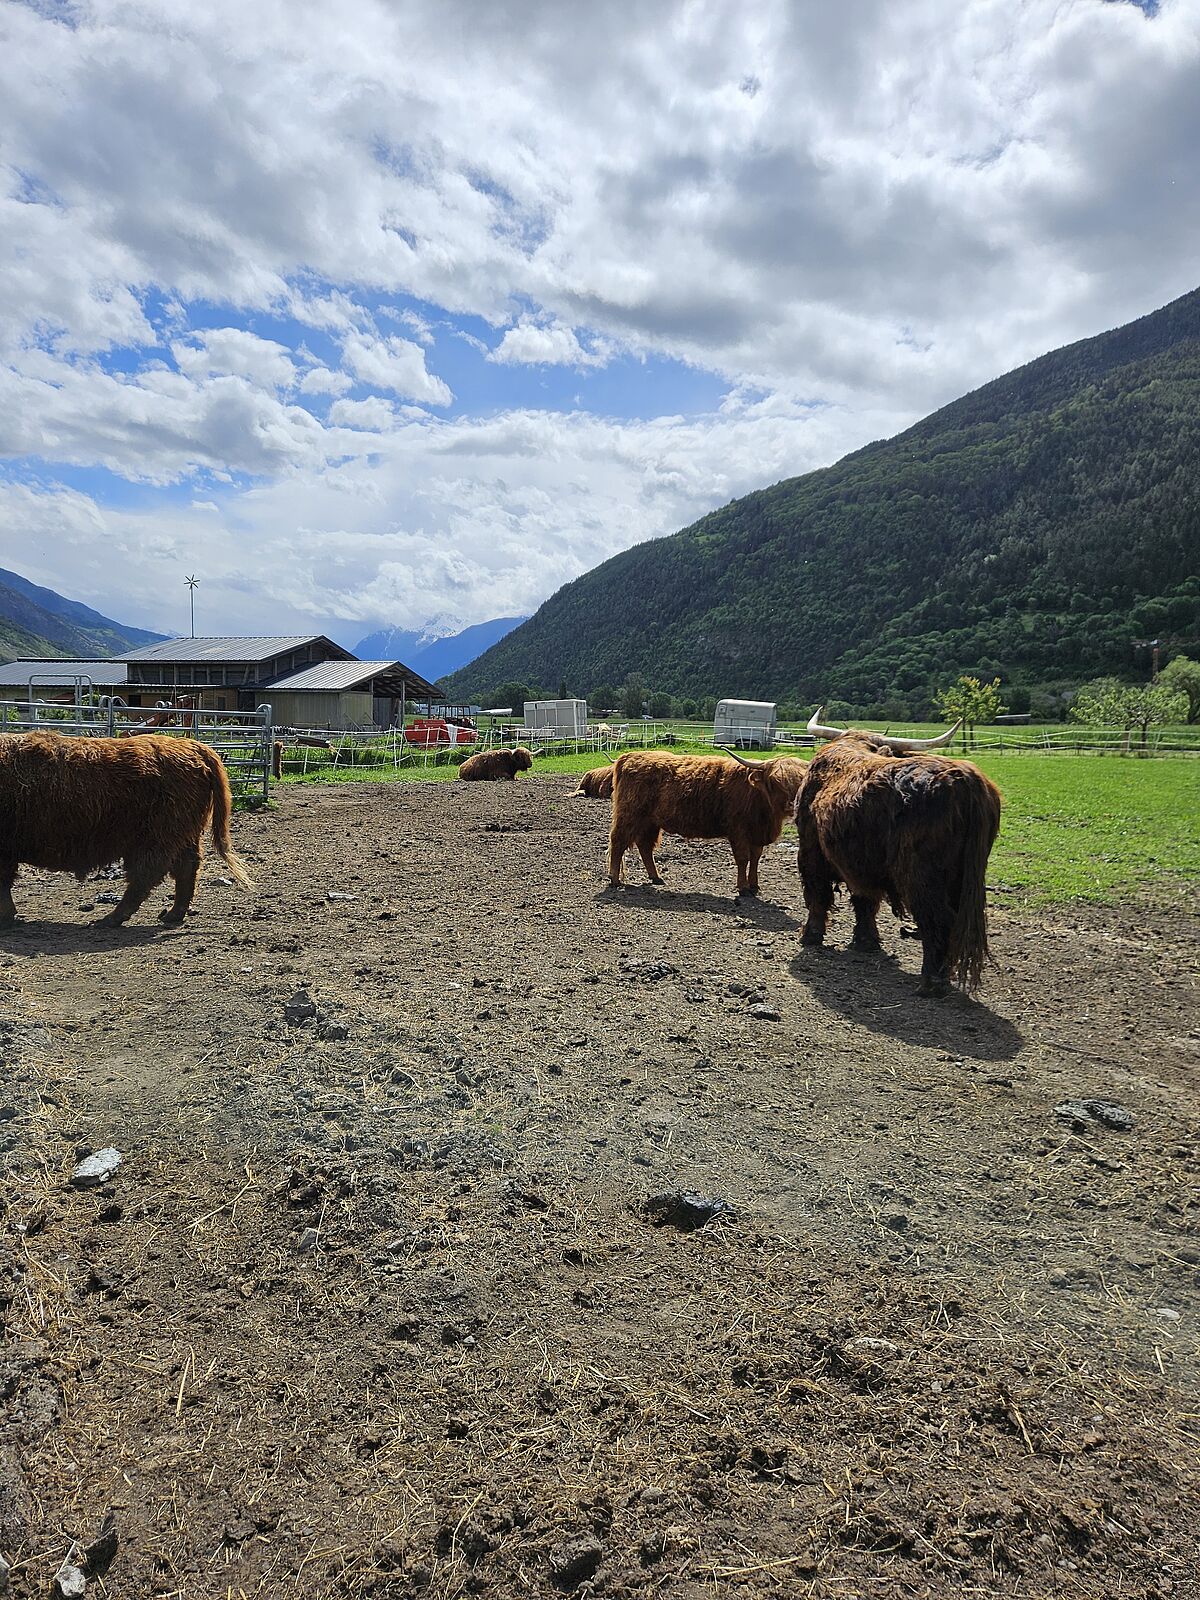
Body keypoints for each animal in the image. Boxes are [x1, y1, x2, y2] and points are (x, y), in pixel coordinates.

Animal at [0, 732, 254, 934]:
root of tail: (192, 746)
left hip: (158, 836)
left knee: (147, 875)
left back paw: (107, 920)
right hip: (183, 835)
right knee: (185, 868)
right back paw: (171, 915)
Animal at [611, 742, 809, 896]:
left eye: (800, 781)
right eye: (775, 782)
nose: (792, 804)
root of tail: (628, 757)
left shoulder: (756, 834)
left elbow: (755, 859)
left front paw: (754, 885)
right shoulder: (738, 832)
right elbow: (743, 858)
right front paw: (744, 888)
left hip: (650, 822)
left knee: (645, 846)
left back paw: (656, 877)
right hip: (629, 815)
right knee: (618, 842)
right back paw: (614, 879)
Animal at [800, 707, 1004, 992]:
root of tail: (965, 779)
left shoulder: (811, 850)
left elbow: (818, 895)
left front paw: (811, 936)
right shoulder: (861, 865)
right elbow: (865, 901)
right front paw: (866, 942)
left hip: (920, 875)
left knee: (939, 920)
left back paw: (930, 983)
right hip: (963, 877)